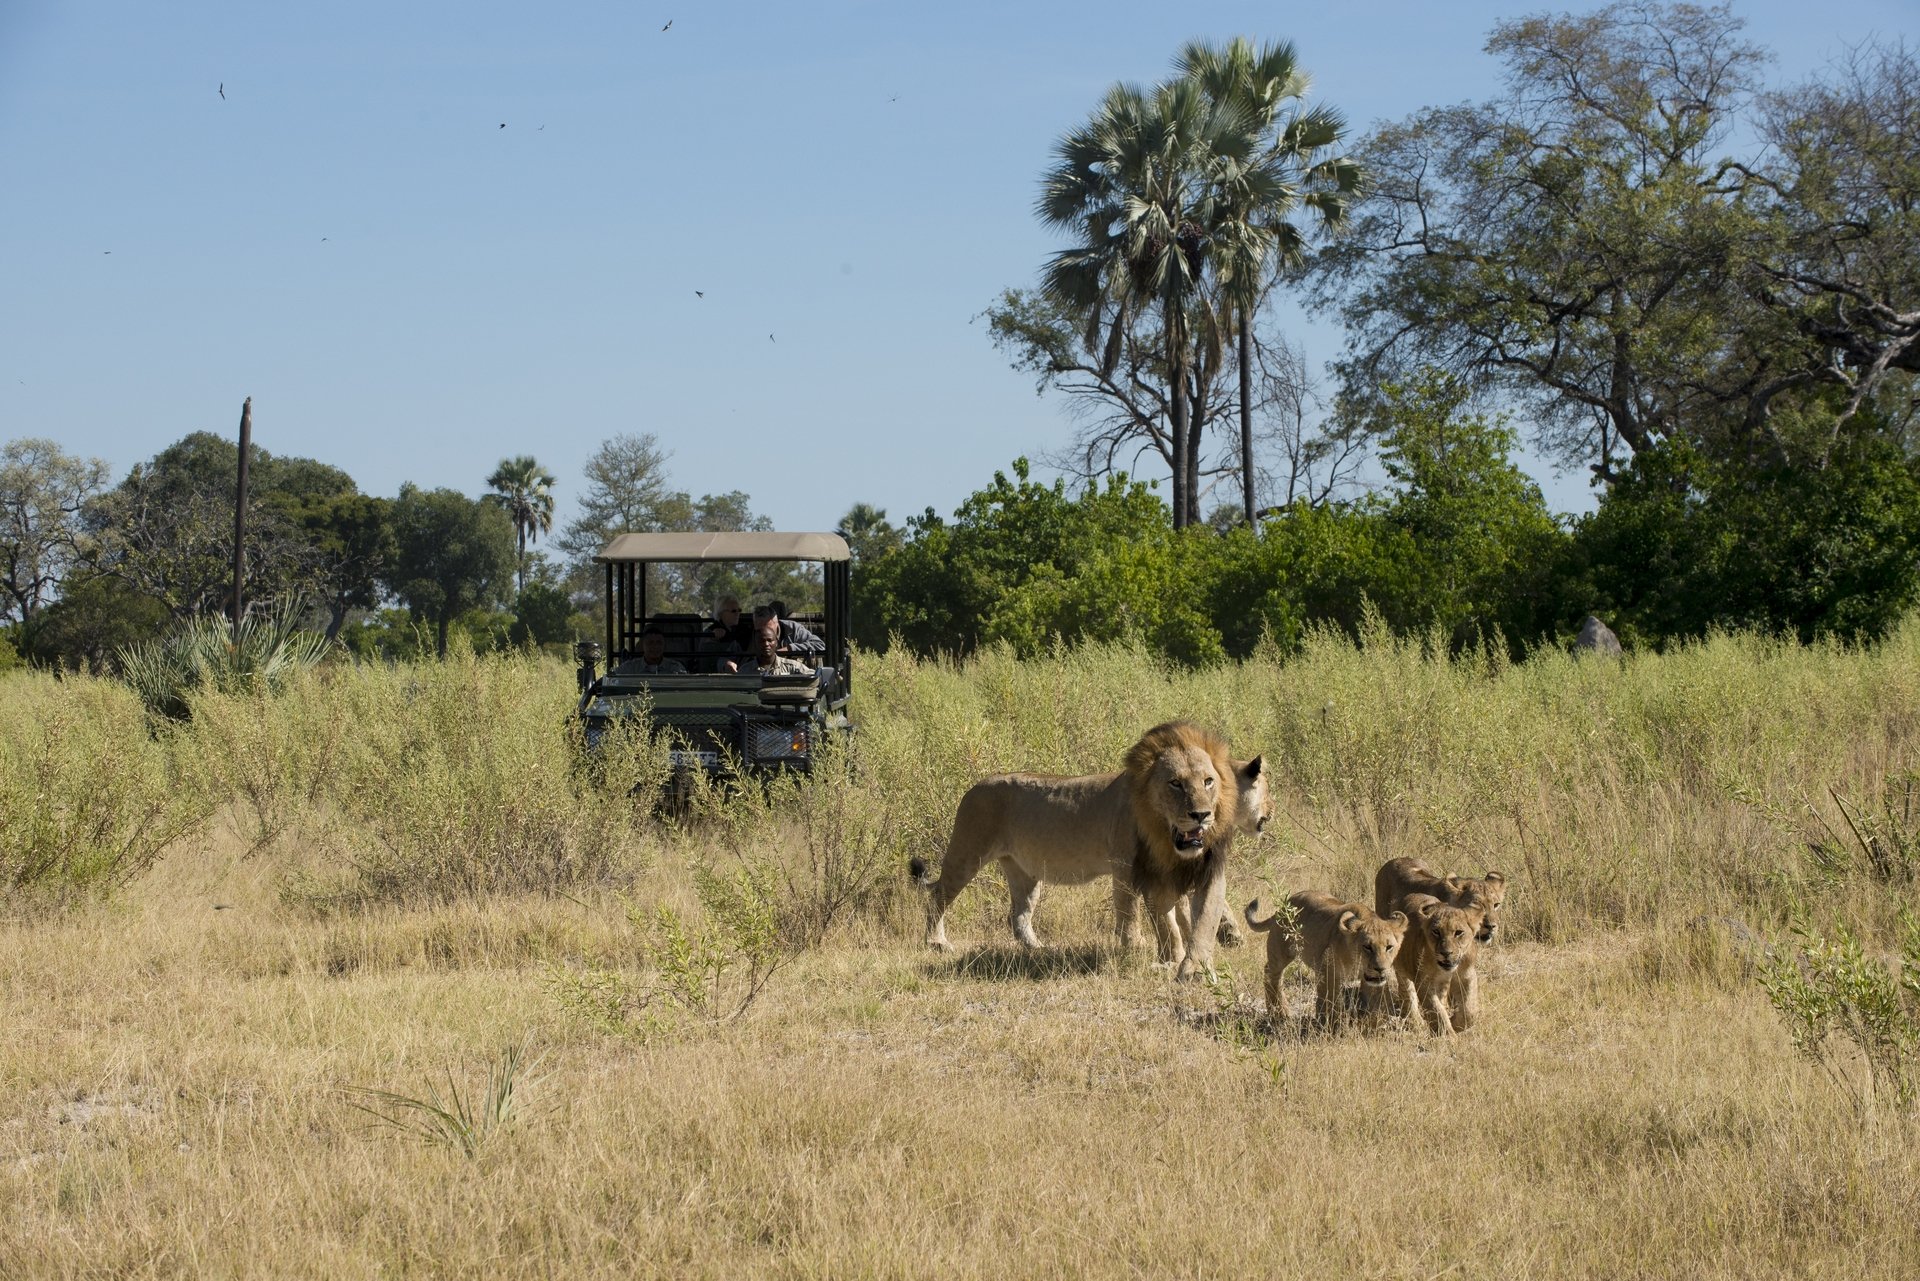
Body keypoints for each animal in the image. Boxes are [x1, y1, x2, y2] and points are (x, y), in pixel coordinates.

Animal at [910, 722, 1267, 983]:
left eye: (1208, 781)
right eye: (1176, 783)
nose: (1201, 815)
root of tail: (973, 786)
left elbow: (1194, 910)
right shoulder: (1125, 863)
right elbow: (1131, 910)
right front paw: (1136, 948)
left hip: (1024, 871)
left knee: (1019, 915)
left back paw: (1039, 951)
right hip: (967, 851)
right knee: (938, 895)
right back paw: (937, 943)